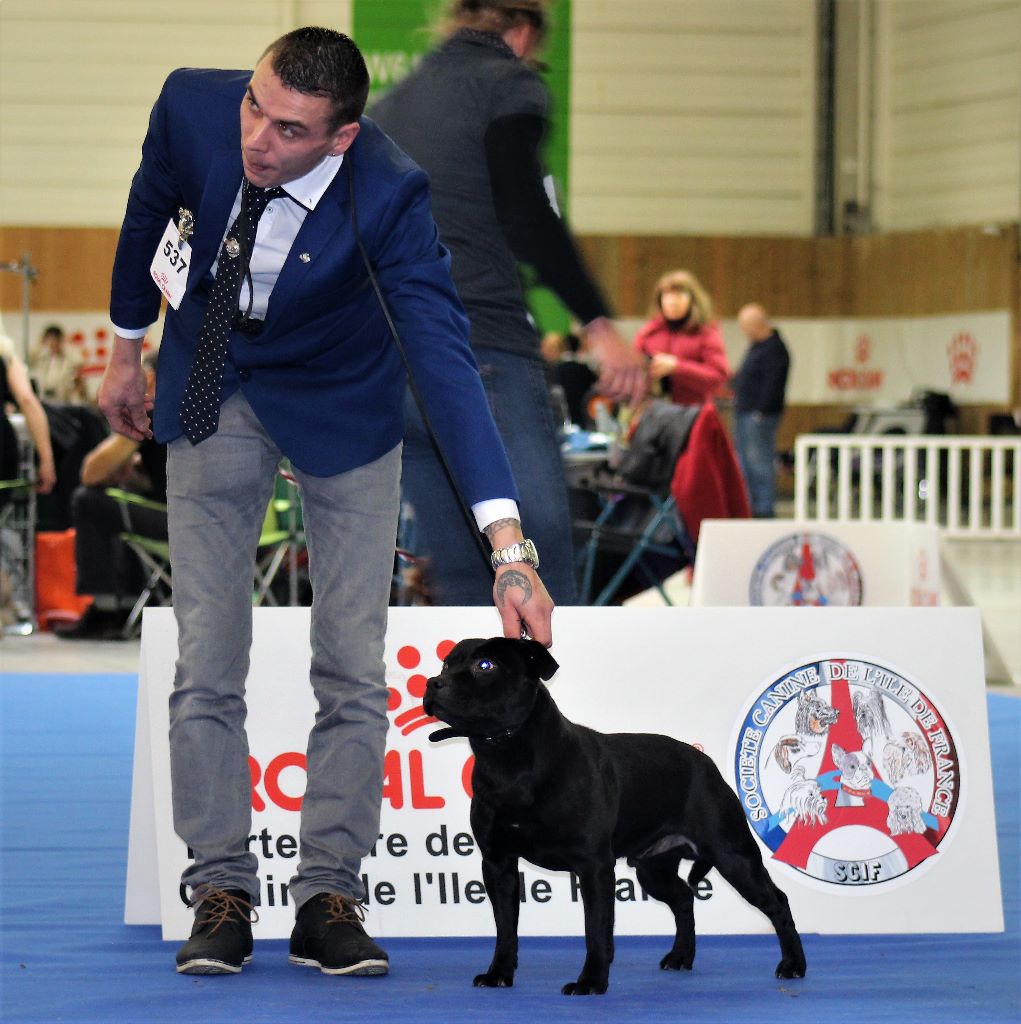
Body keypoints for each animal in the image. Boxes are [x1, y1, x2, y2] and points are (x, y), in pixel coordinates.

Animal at [421, 634, 802, 995]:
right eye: (446, 664)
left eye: (485, 665)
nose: (432, 683)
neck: (508, 757)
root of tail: (704, 762)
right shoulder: (498, 863)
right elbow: (505, 928)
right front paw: (499, 973)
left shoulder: (593, 866)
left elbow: (595, 929)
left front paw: (591, 981)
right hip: (653, 869)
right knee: (683, 898)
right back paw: (681, 957)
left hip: (733, 857)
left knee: (777, 901)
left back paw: (793, 965)